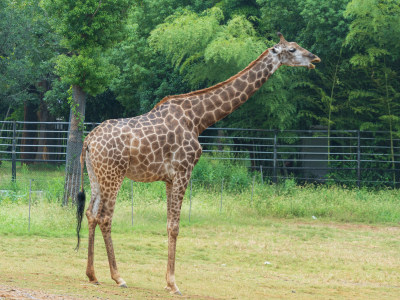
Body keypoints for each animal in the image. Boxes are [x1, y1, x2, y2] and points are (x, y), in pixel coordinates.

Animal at [74, 32, 318, 292]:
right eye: (292, 49)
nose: (315, 58)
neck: (199, 119)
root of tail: (89, 140)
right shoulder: (184, 170)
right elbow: (175, 226)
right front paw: (173, 283)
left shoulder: (169, 178)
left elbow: (168, 224)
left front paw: (167, 281)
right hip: (114, 174)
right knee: (105, 217)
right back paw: (118, 277)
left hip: (95, 174)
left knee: (90, 213)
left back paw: (92, 274)